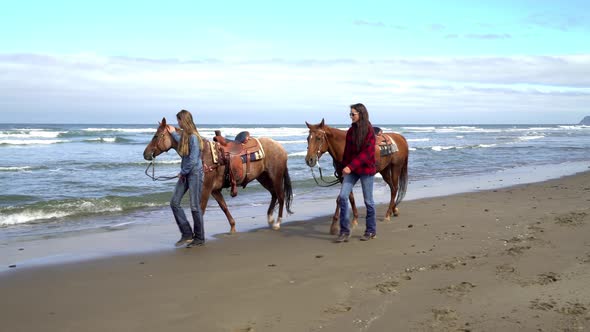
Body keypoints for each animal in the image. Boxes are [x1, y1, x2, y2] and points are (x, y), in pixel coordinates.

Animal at [142, 118, 294, 232]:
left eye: (156, 136)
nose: (145, 154)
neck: (202, 154)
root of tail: (280, 147)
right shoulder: (214, 190)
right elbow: (224, 207)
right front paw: (232, 227)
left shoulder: (205, 189)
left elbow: (201, 209)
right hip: (263, 177)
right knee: (274, 195)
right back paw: (270, 218)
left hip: (275, 176)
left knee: (280, 196)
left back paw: (277, 222)